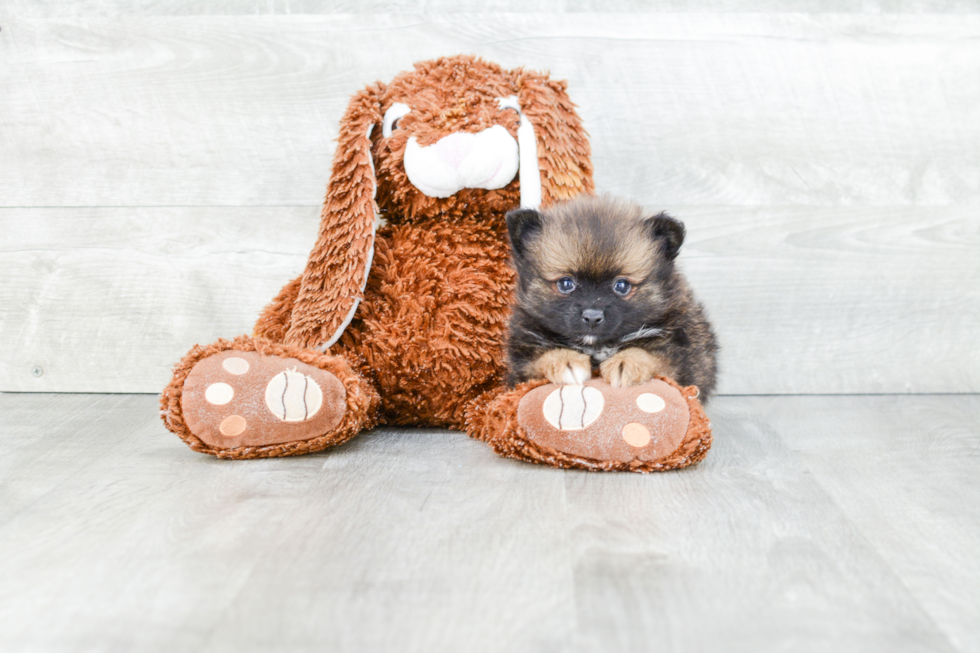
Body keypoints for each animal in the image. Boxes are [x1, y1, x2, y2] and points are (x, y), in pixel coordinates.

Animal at [510, 194, 716, 398]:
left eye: (622, 286)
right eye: (566, 284)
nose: (592, 317)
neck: (597, 346)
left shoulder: (682, 360)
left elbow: (651, 355)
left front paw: (626, 362)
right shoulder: (518, 366)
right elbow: (540, 357)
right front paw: (565, 361)